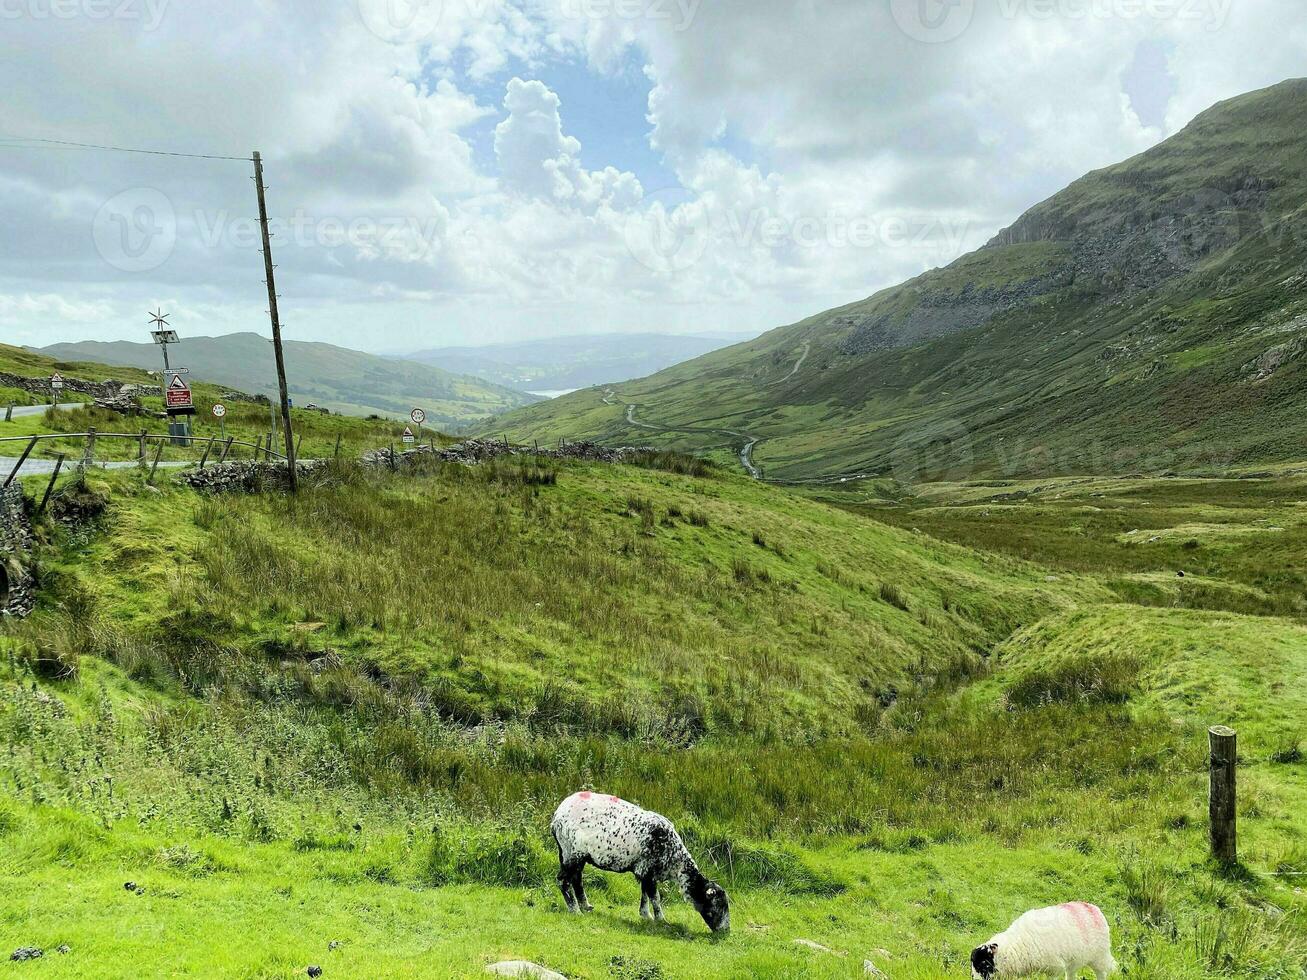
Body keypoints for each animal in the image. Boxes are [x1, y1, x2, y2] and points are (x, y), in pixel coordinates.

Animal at [548, 789, 731, 935]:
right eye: (717, 905)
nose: (725, 932)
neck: (675, 861)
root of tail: (557, 814)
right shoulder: (648, 870)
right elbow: (655, 897)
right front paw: (661, 919)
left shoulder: (645, 871)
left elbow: (645, 894)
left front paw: (646, 915)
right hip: (571, 851)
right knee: (564, 880)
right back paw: (575, 910)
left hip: (574, 854)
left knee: (577, 879)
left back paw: (585, 906)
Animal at [967, 904, 1118, 980]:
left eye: (984, 964)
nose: (974, 979)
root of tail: (1092, 907)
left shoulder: (1055, 969)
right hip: (1073, 960)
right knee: (1071, 974)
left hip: (1099, 957)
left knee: (1102, 974)